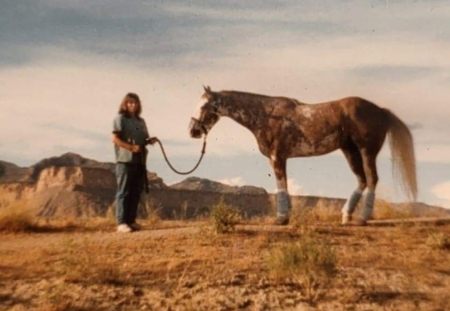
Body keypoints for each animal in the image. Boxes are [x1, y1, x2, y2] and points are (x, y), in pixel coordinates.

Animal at [188, 86, 416, 227]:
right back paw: (346, 216)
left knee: (371, 179)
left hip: (367, 151)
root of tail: (381, 111)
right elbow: (285, 187)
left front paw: (281, 219)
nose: (193, 131)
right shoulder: (279, 158)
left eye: (204, 106)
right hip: (350, 151)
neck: (266, 115)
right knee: (362, 180)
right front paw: (286, 216)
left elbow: (281, 185)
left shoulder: (277, 157)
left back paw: (361, 218)